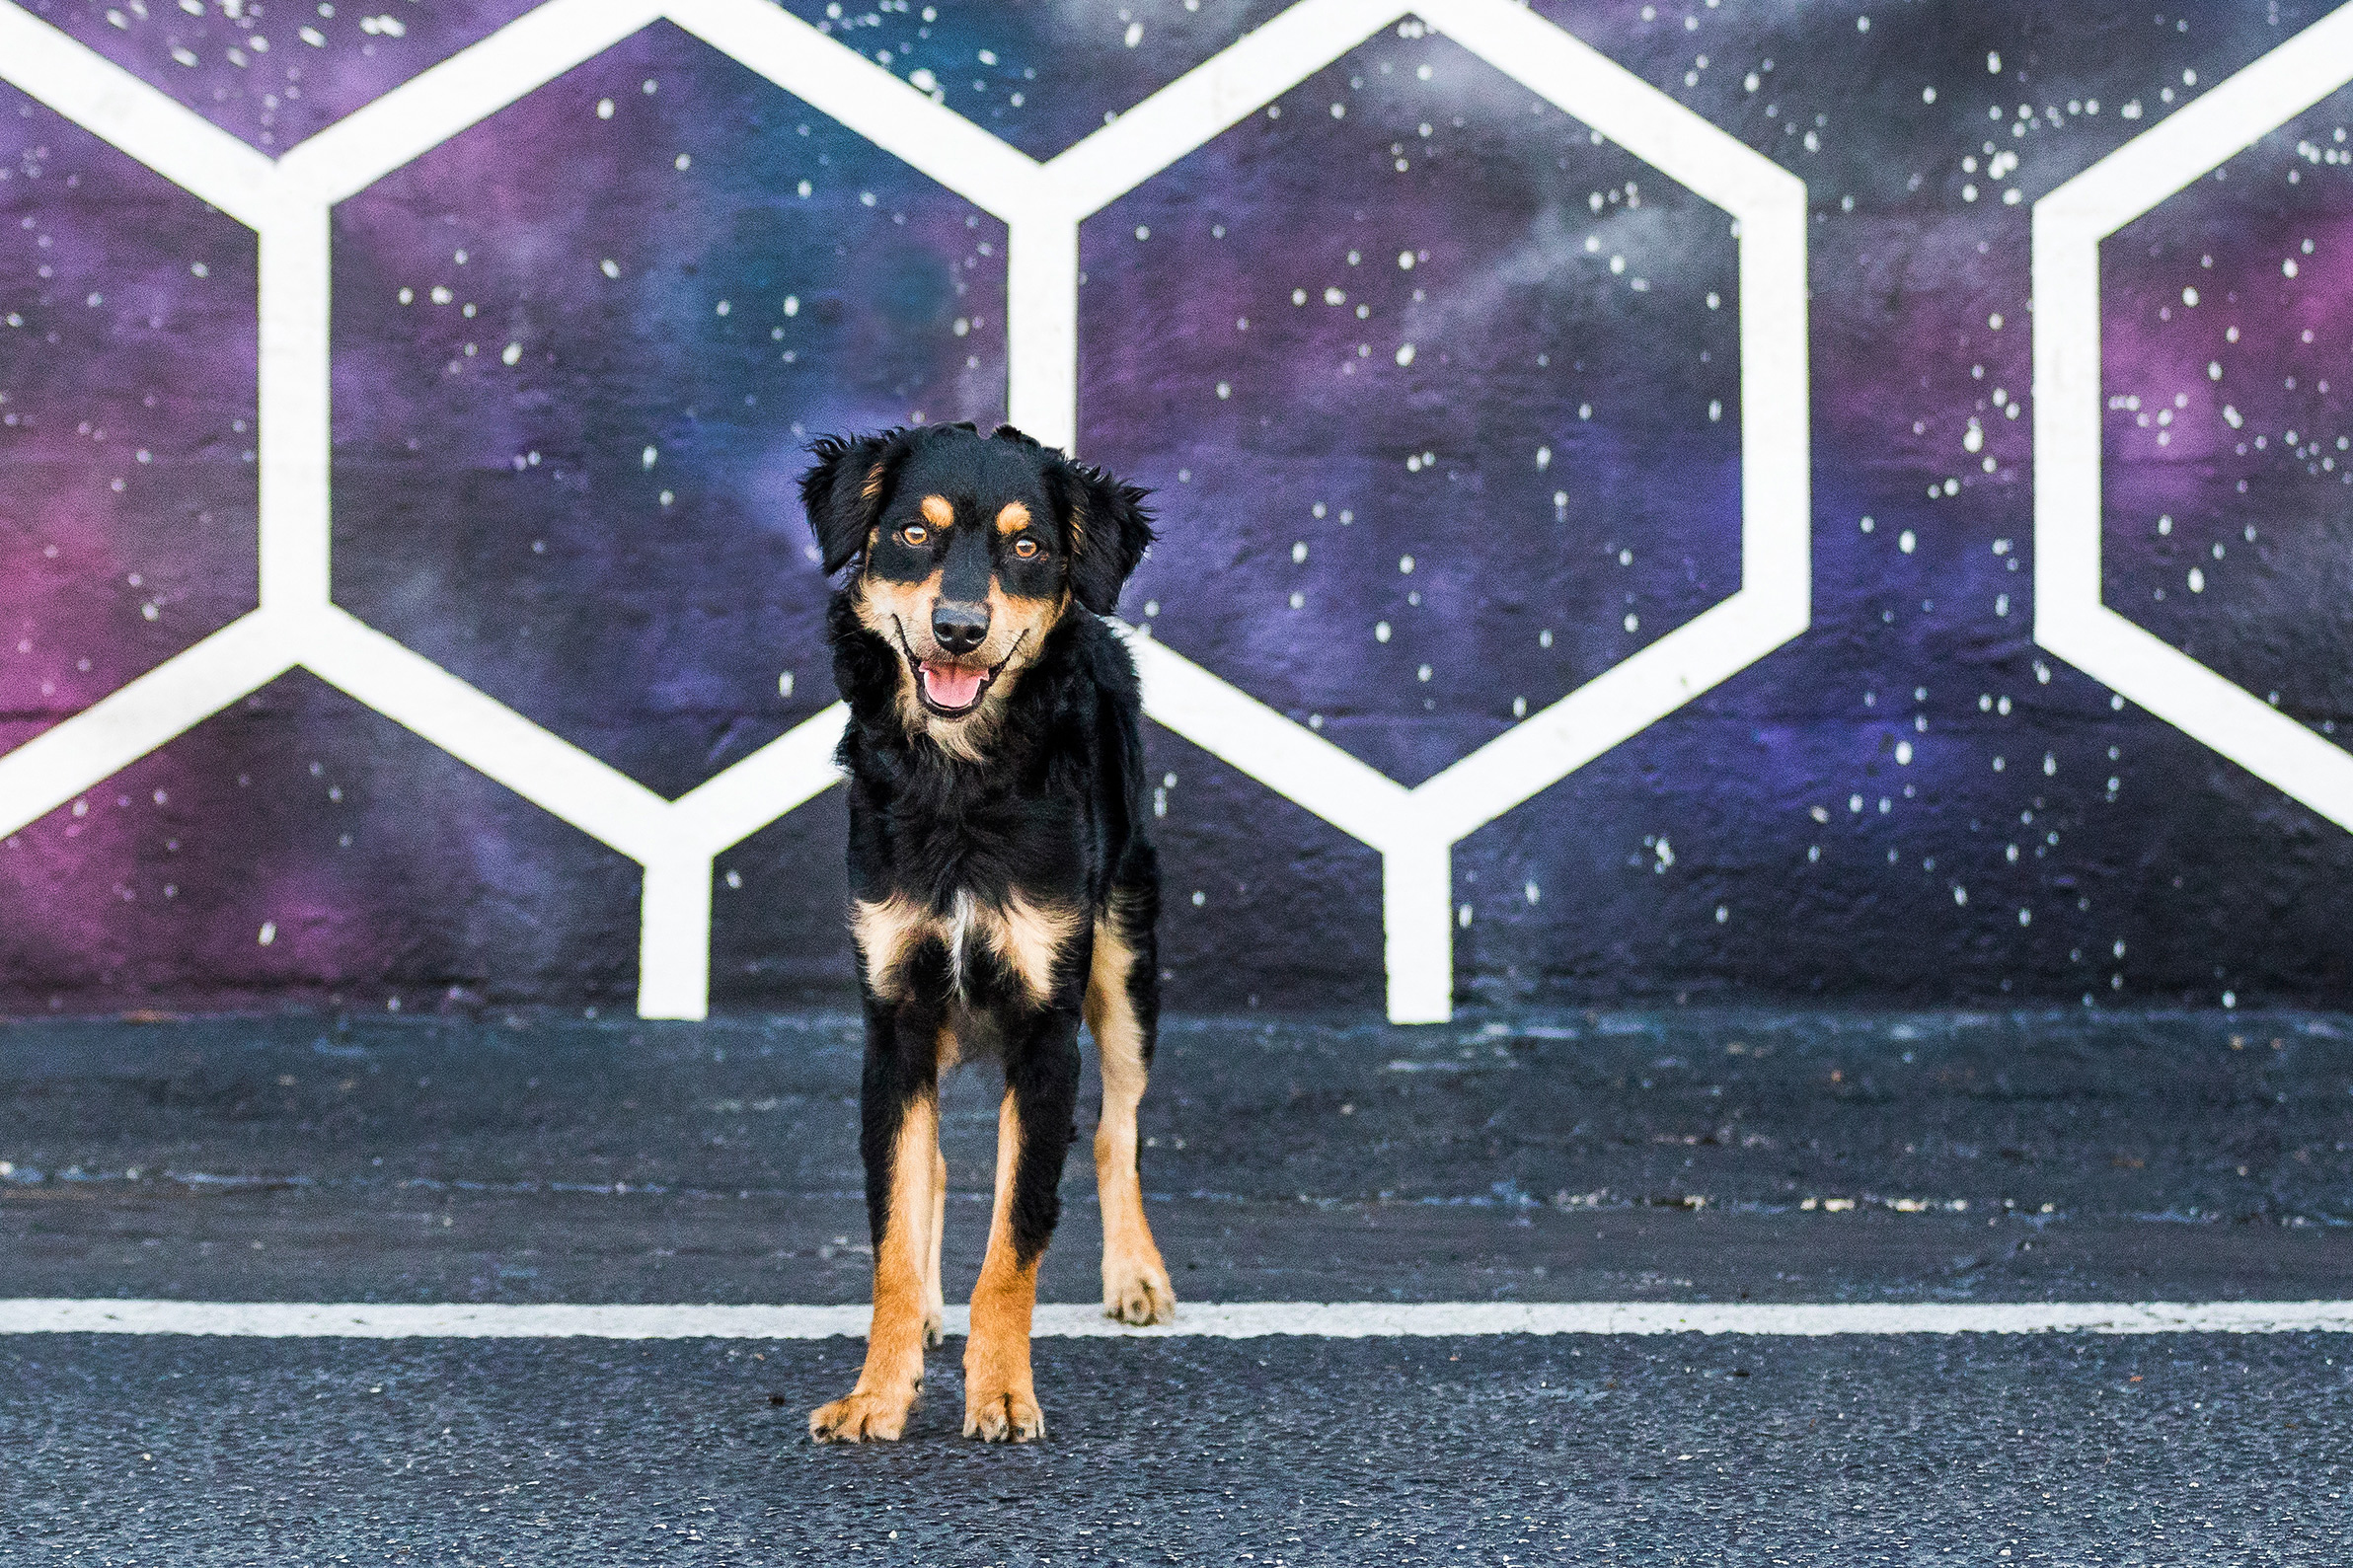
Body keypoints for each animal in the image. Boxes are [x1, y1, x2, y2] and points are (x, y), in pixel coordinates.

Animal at [804, 420, 1172, 1448]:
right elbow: (893, 1224)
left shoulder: (1046, 1030)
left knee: (1118, 1128)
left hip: (1128, 962)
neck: (959, 779)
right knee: (926, 1168)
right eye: (912, 534)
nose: (959, 629)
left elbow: (1018, 1233)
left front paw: (1002, 1391)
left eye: (1028, 547)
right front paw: (879, 1390)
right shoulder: (892, 1020)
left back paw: (1136, 1275)